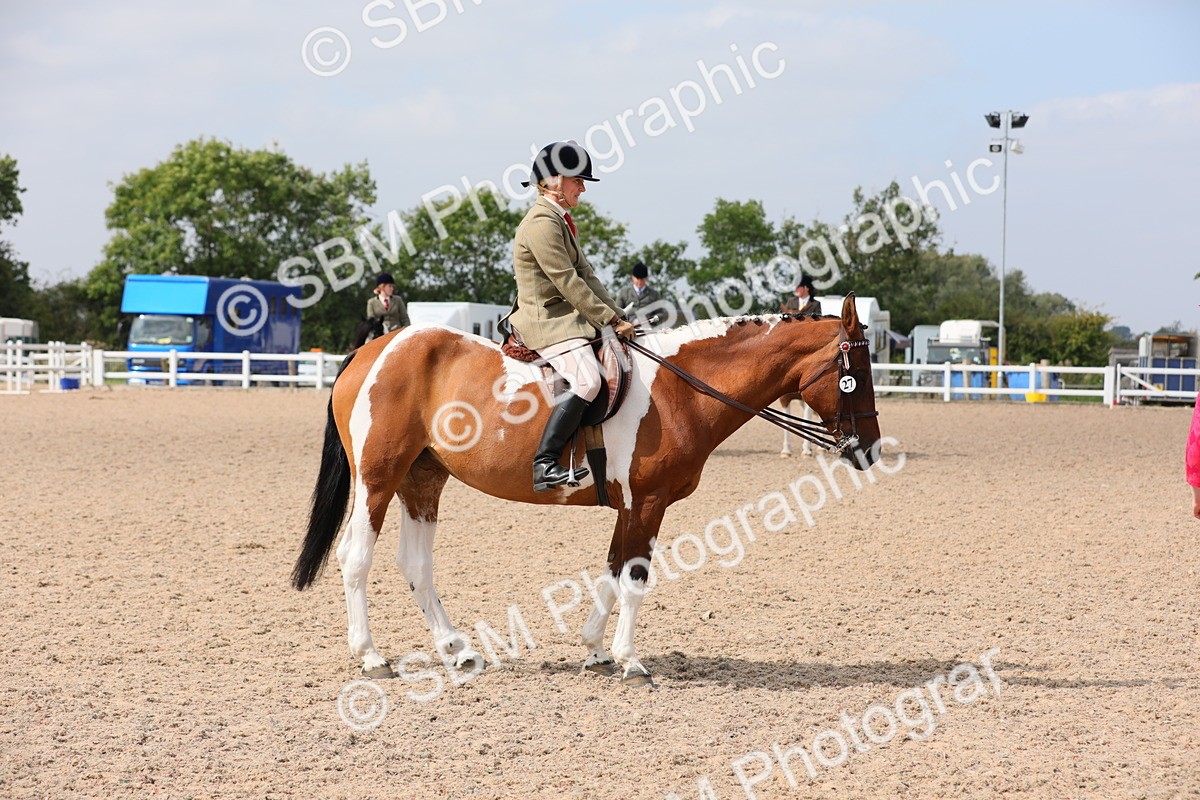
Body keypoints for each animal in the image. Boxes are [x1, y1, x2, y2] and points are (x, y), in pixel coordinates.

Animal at [292, 294, 882, 687]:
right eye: (854, 371)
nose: (870, 450)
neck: (679, 389)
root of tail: (373, 351)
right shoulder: (648, 501)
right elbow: (636, 578)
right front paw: (630, 660)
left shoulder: (631, 504)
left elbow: (613, 568)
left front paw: (595, 648)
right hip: (378, 479)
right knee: (355, 557)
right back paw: (371, 656)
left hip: (423, 480)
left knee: (415, 564)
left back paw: (455, 649)